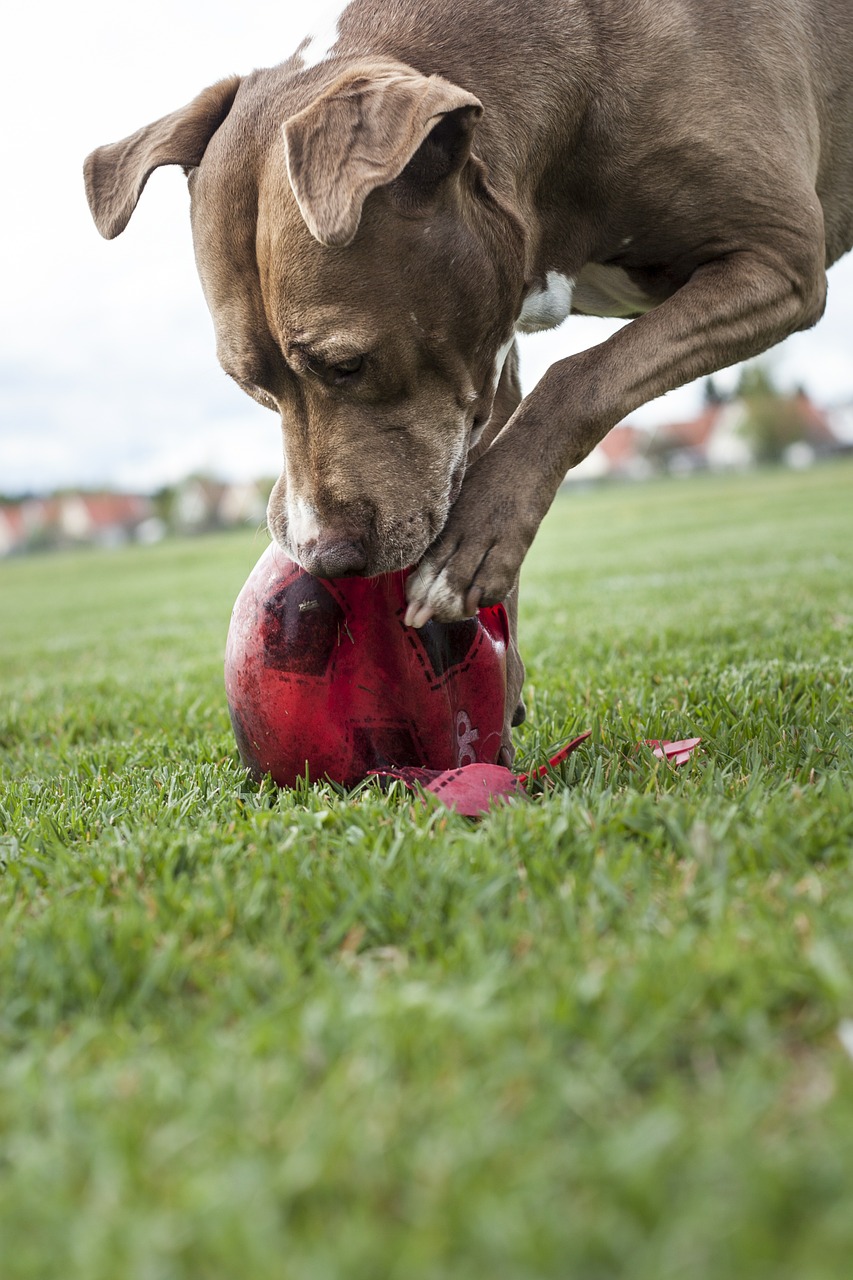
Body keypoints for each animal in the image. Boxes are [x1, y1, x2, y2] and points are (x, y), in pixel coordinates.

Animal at [84, 0, 850, 752]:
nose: (322, 558)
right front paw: (497, 683)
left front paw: (469, 550)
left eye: (345, 364)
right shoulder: (482, 360)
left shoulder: (779, 265)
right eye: (250, 385)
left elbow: (579, 374)